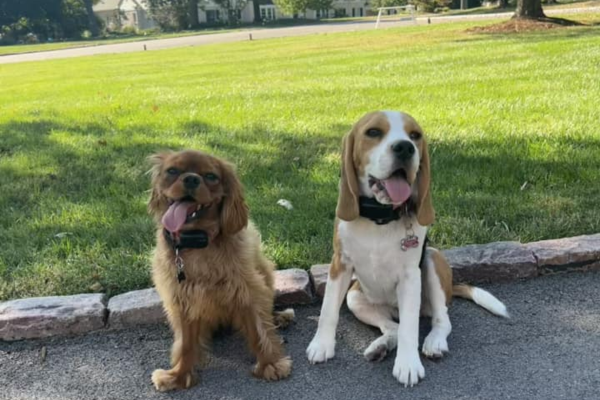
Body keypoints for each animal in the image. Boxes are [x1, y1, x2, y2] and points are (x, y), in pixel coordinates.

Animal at [148, 149, 292, 390]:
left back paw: (280, 317)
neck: (197, 242)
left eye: (210, 176)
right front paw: (178, 375)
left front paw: (270, 364)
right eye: (172, 171)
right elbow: (186, 344)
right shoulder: (183, 298)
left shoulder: (247, 290)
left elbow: (258, 330)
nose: (191, 179)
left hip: (265, 269)